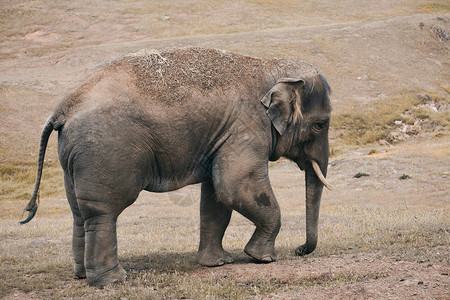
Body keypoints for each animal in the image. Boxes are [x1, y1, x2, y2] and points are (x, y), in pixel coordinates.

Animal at [20, 47, 330, 286]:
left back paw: (82, 276)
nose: (299, 250)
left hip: (72, 158)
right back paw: (112, 280)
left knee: (78, 213)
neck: (272, 66)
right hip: (102, 152)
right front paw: (262, 258)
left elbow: (216, 197)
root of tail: (64, 107)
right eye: (320, 125)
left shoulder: (224, 135)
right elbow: (235, 186)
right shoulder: (247, 126)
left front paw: (217, 264)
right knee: (102, 212)